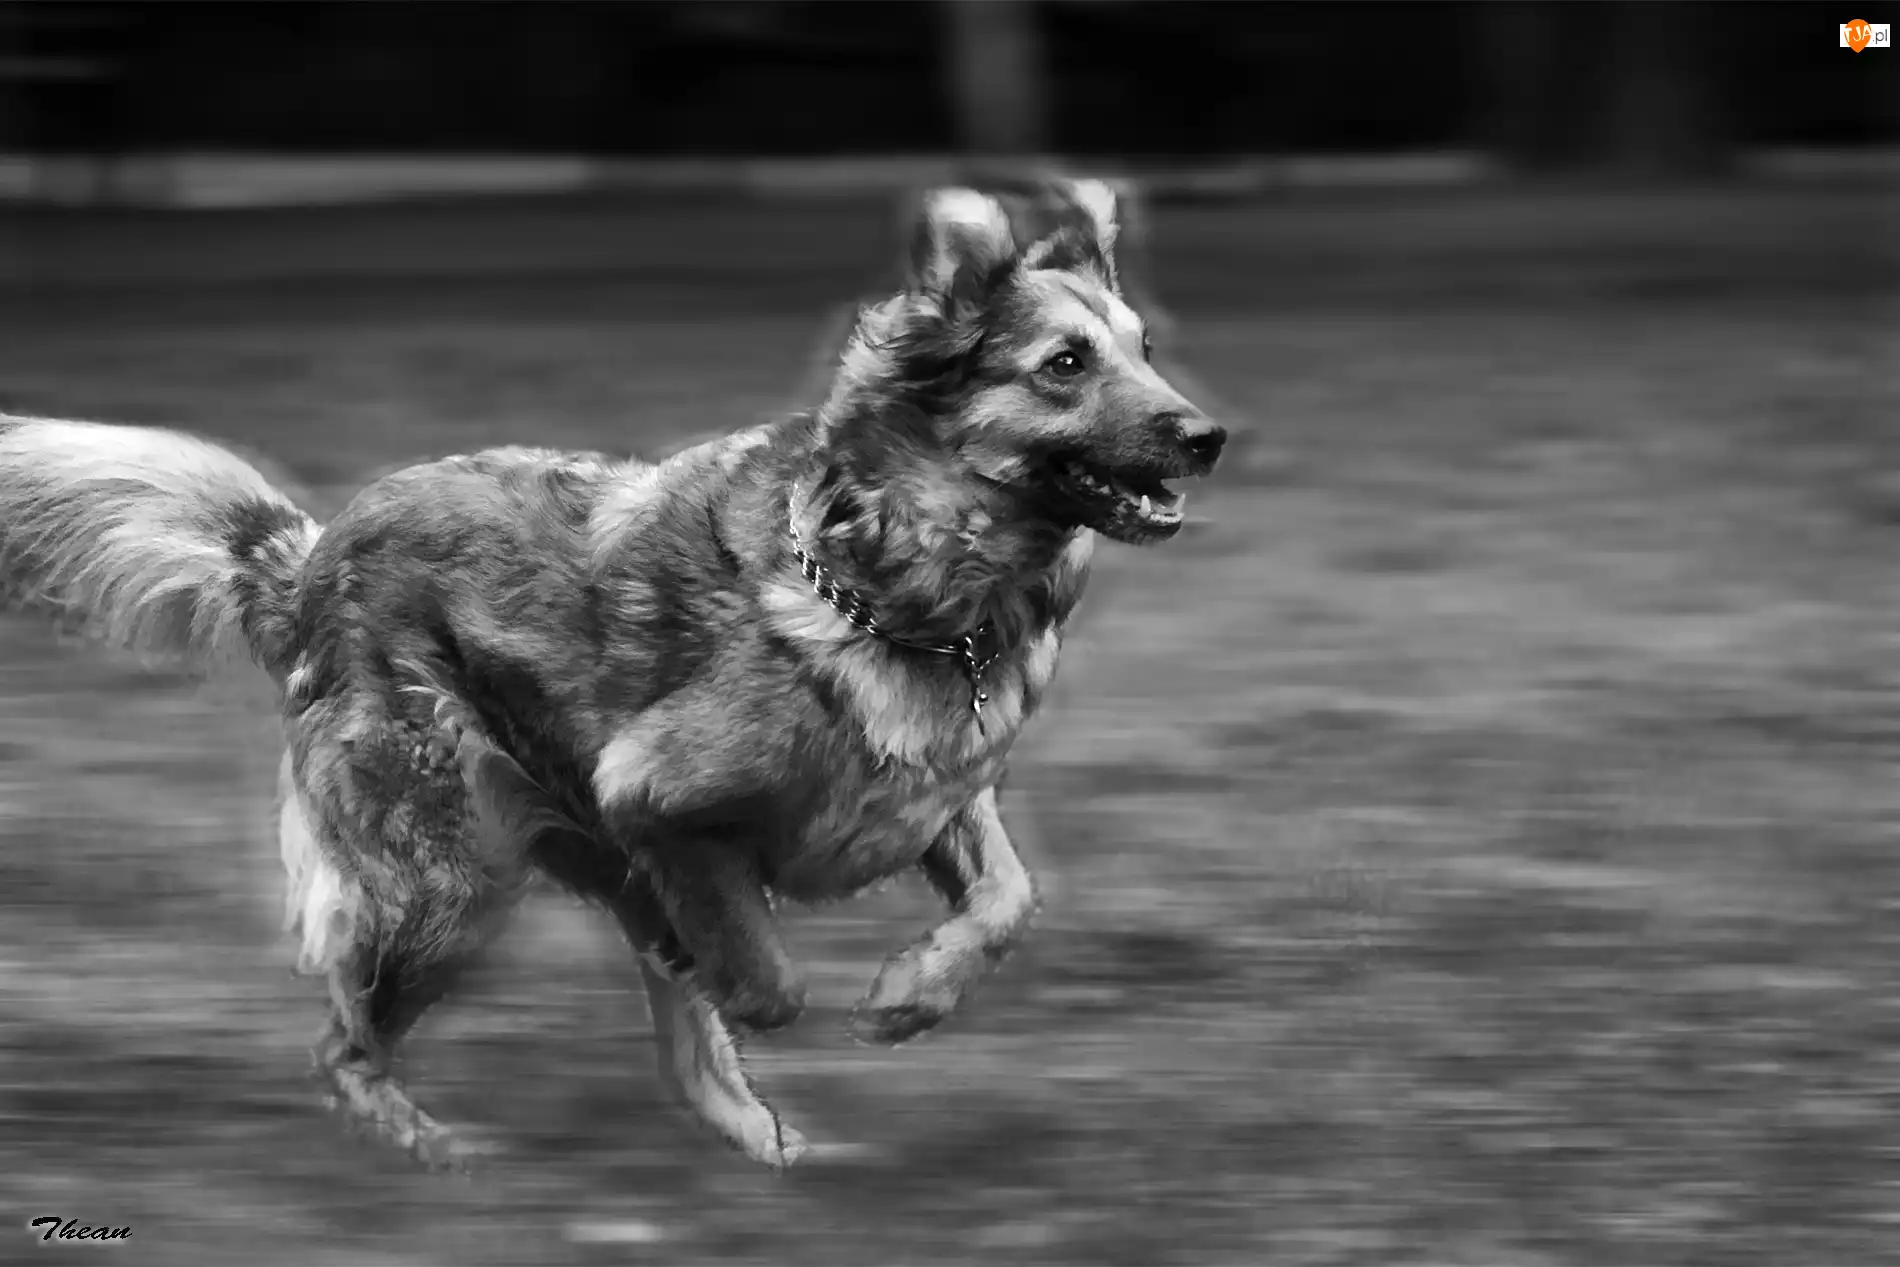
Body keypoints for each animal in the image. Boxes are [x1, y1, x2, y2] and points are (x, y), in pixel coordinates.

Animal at [0, 177, 1224, 1171]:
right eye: (1064, 365)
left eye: (1144, 349)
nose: (1208, 434)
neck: (895, 591)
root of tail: (307, 559)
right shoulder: (653, 800)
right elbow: (765, 984)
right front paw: (837, 1000)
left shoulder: (938, 797)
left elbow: (1009, 900)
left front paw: (908, 1001)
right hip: (448, 881)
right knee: (344, 1045)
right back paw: (440, 1158)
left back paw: (767, 1150)